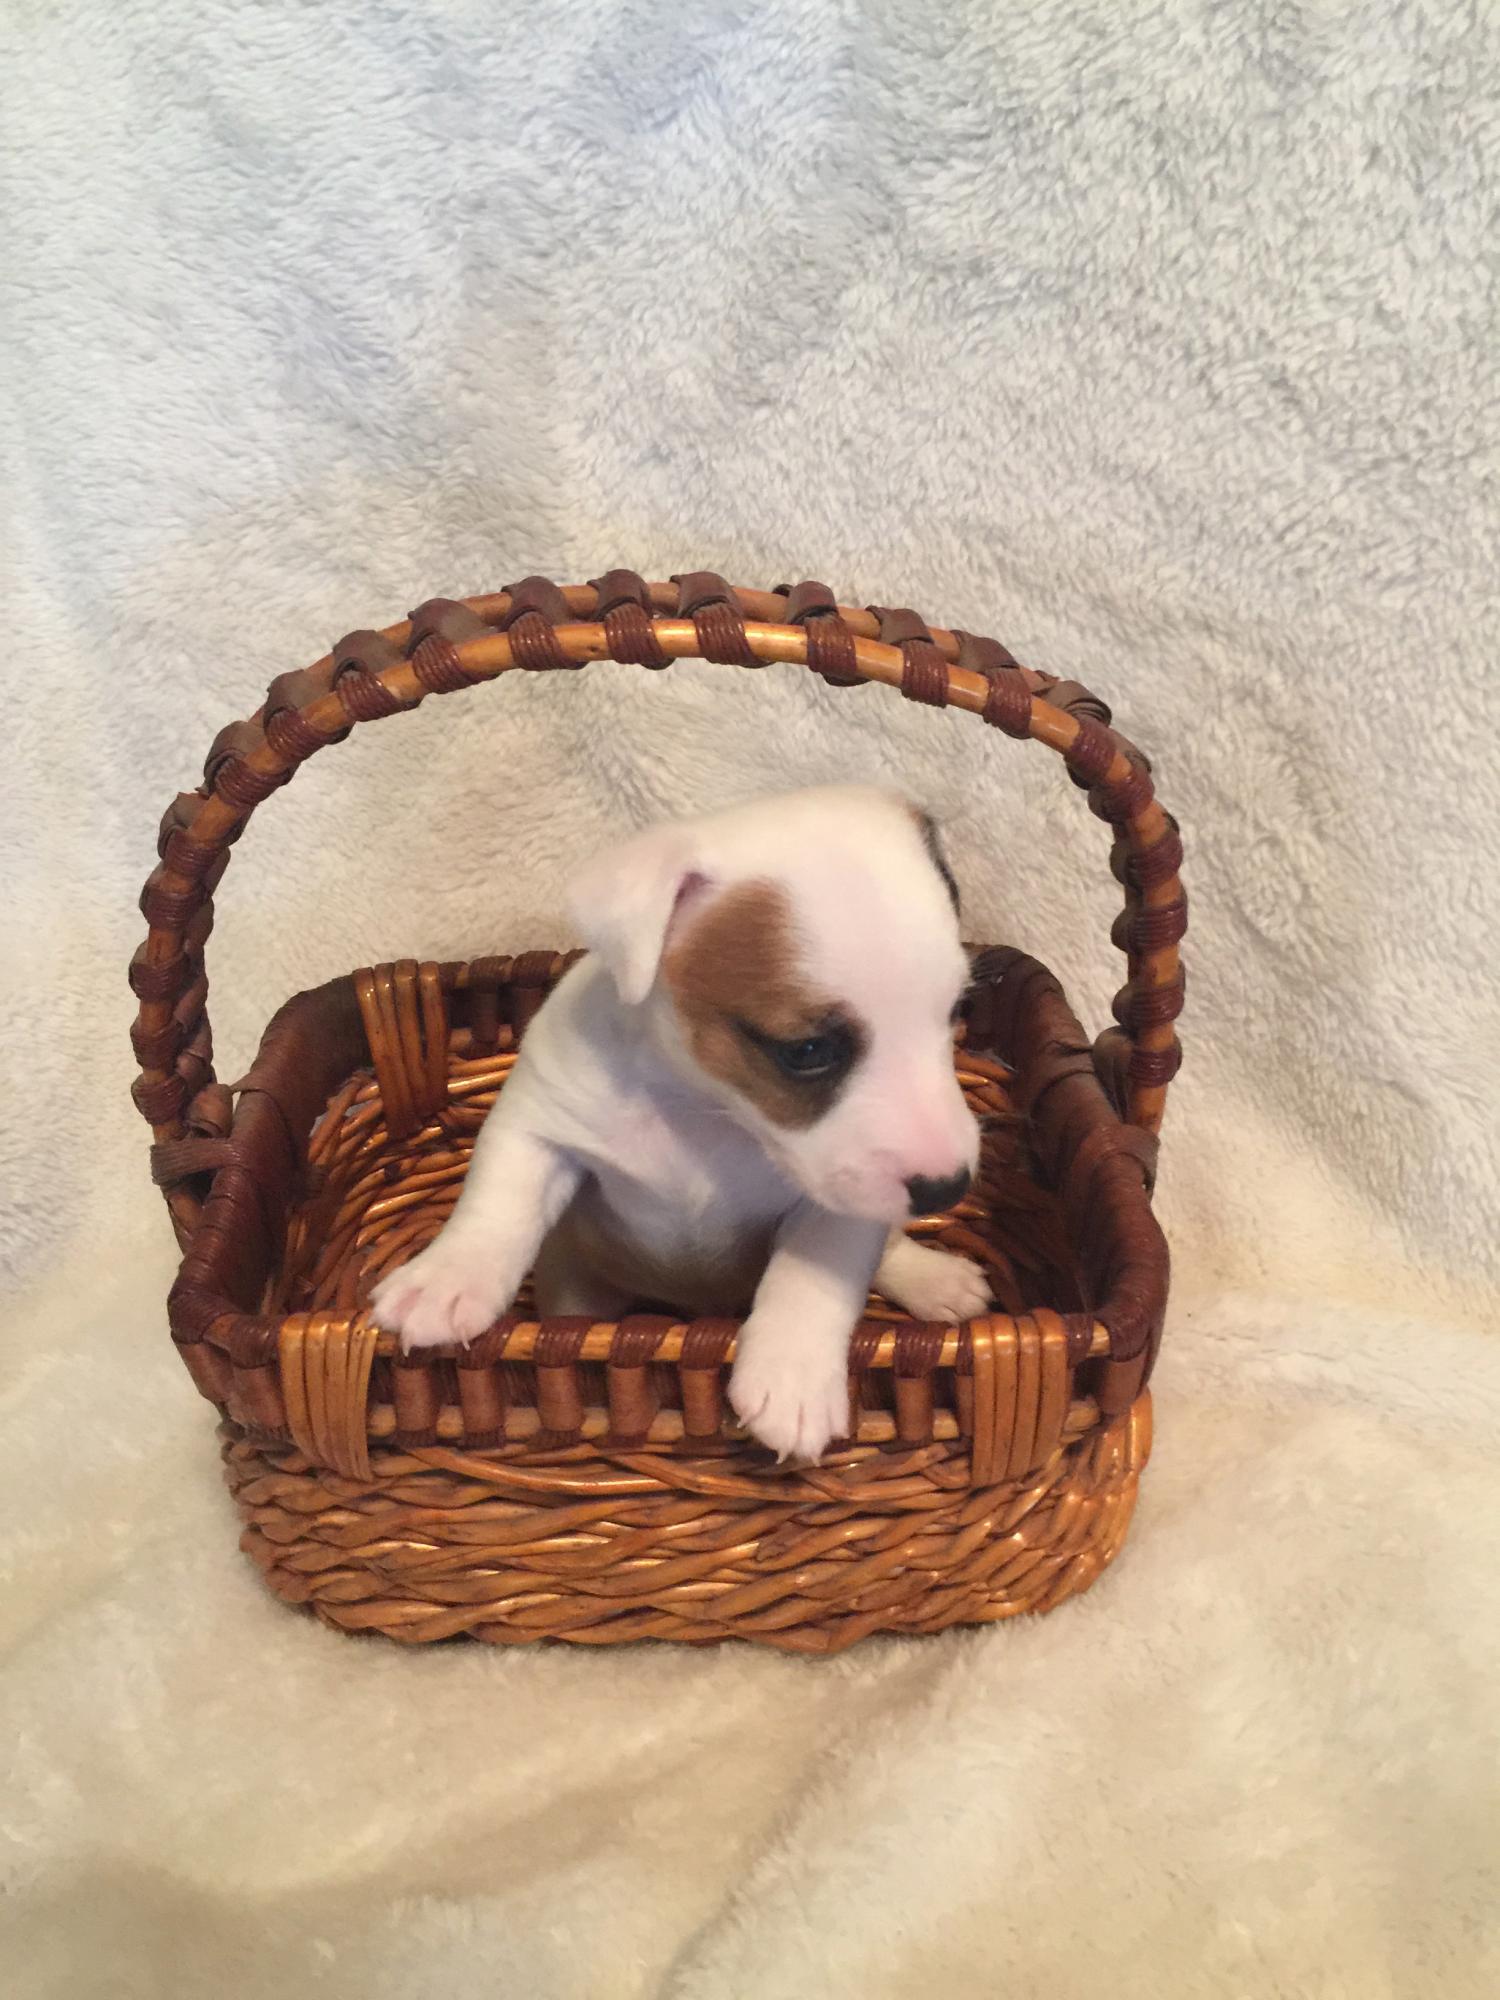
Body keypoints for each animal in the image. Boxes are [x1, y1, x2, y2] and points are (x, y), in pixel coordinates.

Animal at [370, 788, 992, 1464]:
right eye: (806, 1051)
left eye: (956, 1012)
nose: (947, 1188)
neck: (706, 1111)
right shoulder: (542, 1124)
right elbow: (497, 1205)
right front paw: (446, 1279)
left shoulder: (843, 1206)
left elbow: (814, 1275)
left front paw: (793, 1375)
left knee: (889, 1252)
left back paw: (933, 1277)